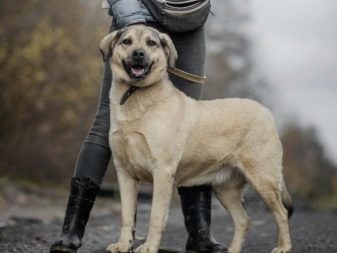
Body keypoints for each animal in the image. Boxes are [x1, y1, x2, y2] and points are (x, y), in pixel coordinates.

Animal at [100, 24, 292, 253]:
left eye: (151, 43)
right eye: (126, 41)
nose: (138, 54)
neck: (135, 96)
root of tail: (266, 111)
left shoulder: (162, 171)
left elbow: (156, 216)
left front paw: (149, 246)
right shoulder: (125, 173)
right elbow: (127, 216)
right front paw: (123, 245)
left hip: (263, 179)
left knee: (281, 213)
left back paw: (284, 246)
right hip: (225, 189)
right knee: (243, 220)